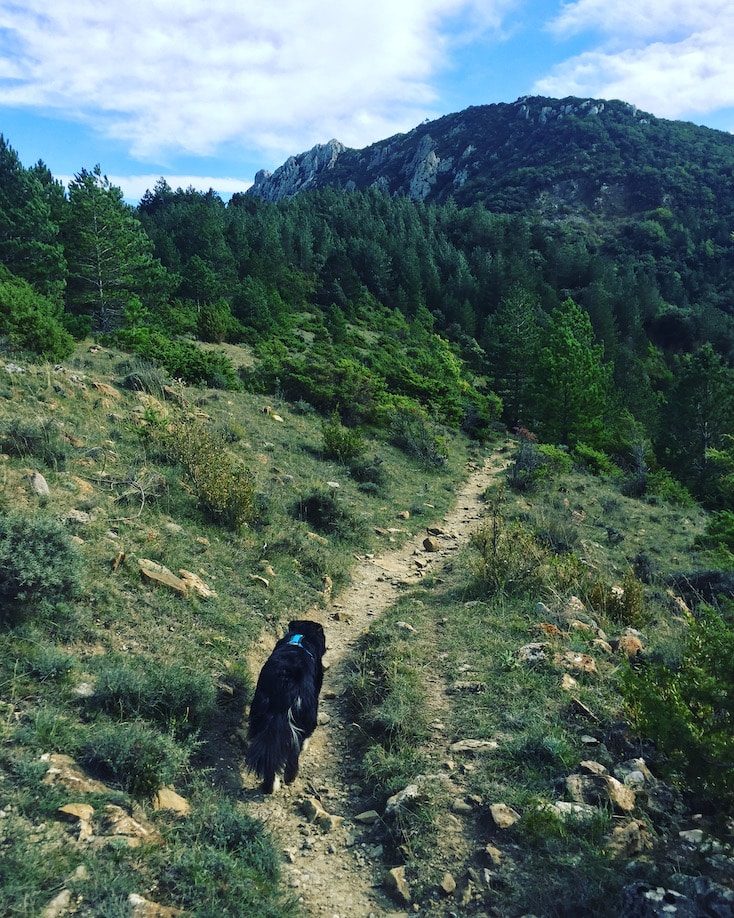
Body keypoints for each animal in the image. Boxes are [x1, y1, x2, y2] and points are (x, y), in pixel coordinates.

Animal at [247, 620, 328, 796]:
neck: (302, 636)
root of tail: (286, 682)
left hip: (260, 712)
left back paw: (269, 787)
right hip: (308, 713)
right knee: (295, 751)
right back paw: (289, 778)